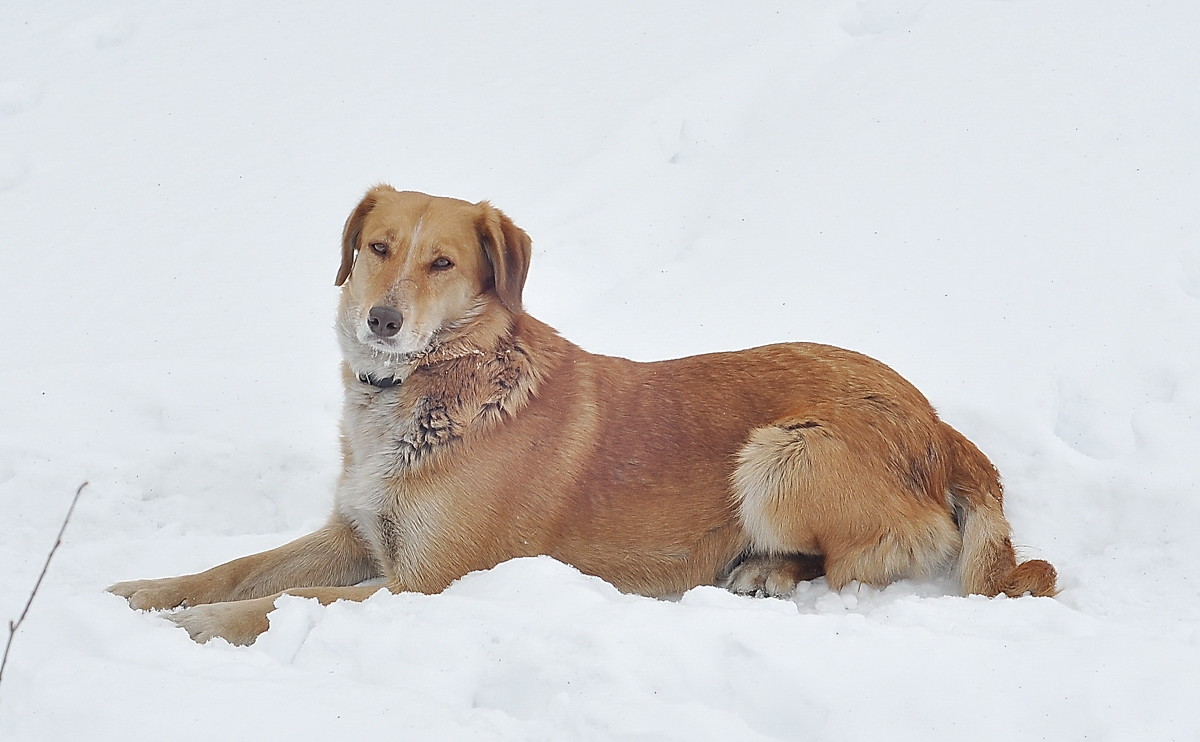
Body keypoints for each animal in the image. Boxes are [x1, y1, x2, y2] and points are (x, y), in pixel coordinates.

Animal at [108, 184, 1056, 643]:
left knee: (859, 559)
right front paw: (144, 591)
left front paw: (200, 627)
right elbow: (237, 567)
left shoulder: (425, 581)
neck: (435, 388)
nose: (380, 322)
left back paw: (765, 571)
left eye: (443, 263)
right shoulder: (356, 532)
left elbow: (281, 599)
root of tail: (941, 427)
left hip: (784, 452)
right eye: (377, 249)